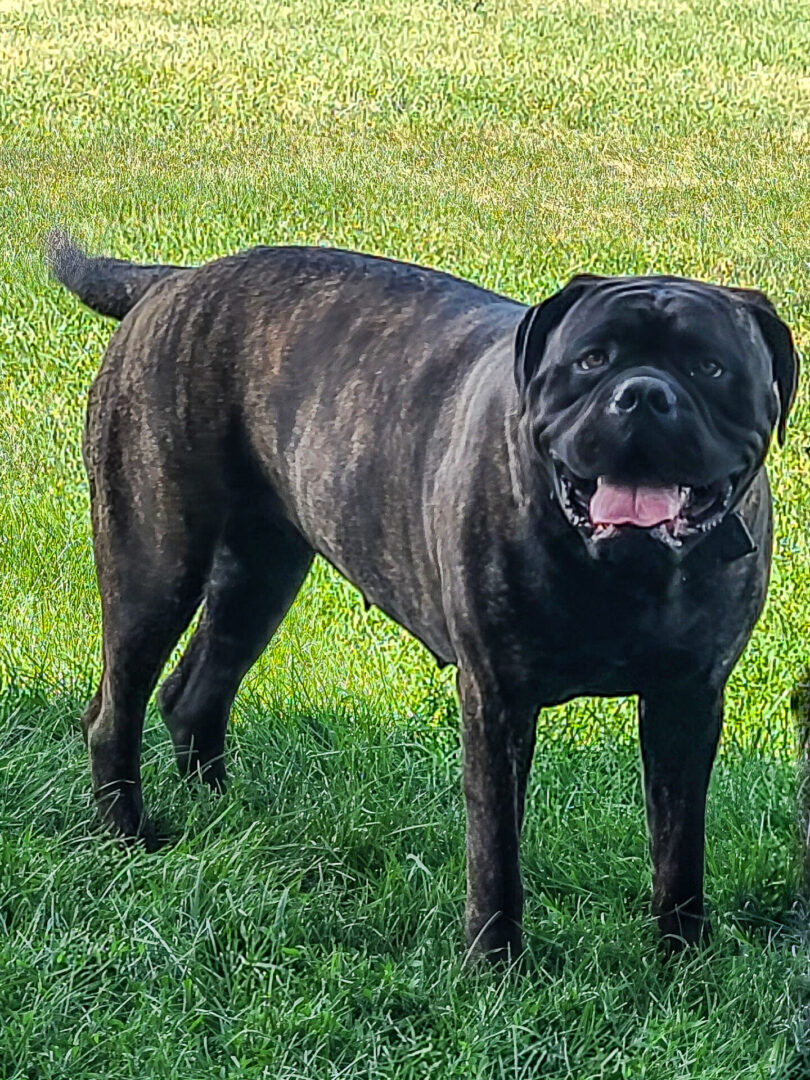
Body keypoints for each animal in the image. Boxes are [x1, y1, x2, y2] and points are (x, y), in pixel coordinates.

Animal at [45, 232, 799, 959]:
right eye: (591, 360)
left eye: (710, 368)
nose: (642, 394)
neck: (624, 571)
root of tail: (175, 279)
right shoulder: (496, 698)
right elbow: (496, 850)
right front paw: (494, 964)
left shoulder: (687, 699)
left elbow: (679, 845)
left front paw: (683, 956)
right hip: (154, 562)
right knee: (115, 709)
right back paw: (127, 832)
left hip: (259, 572)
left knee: (196, 692)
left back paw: (226, 812)